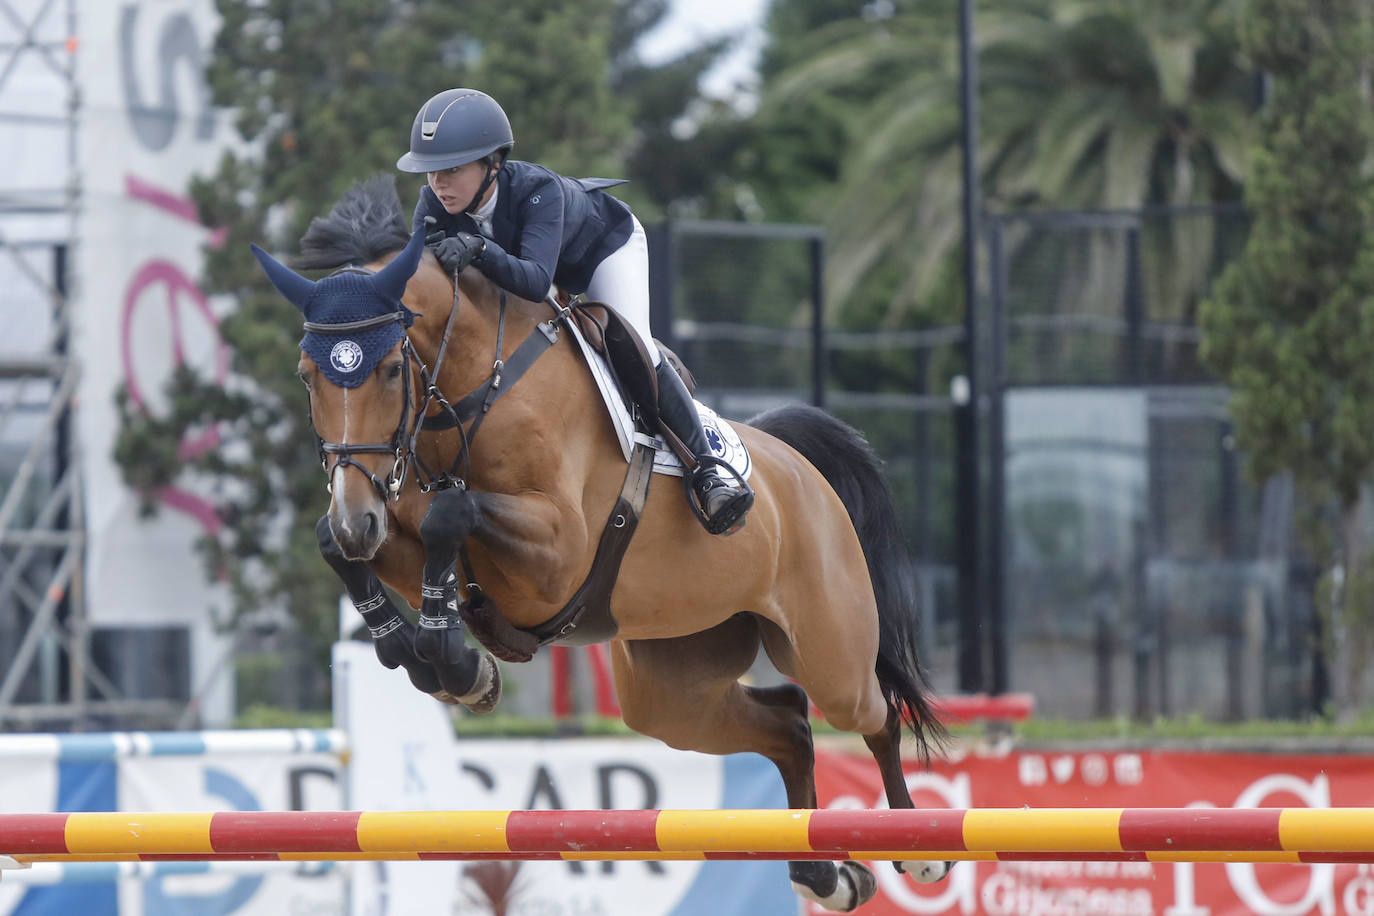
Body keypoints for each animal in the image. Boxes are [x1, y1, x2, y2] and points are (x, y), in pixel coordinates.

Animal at [252, 177, 950, 911]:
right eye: (306, 375)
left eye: (390, 369)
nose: (358, 516)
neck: (470, 393)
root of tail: (797, 464)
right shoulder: (404, 531)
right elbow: (350, 543)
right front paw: (434, 659)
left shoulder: (556, 554)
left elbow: (452, 512)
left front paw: (457, 662)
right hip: (673, 686)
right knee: (787, 721)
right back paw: (827, 874)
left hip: (828, 651)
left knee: (874, 712)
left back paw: (919, 849)